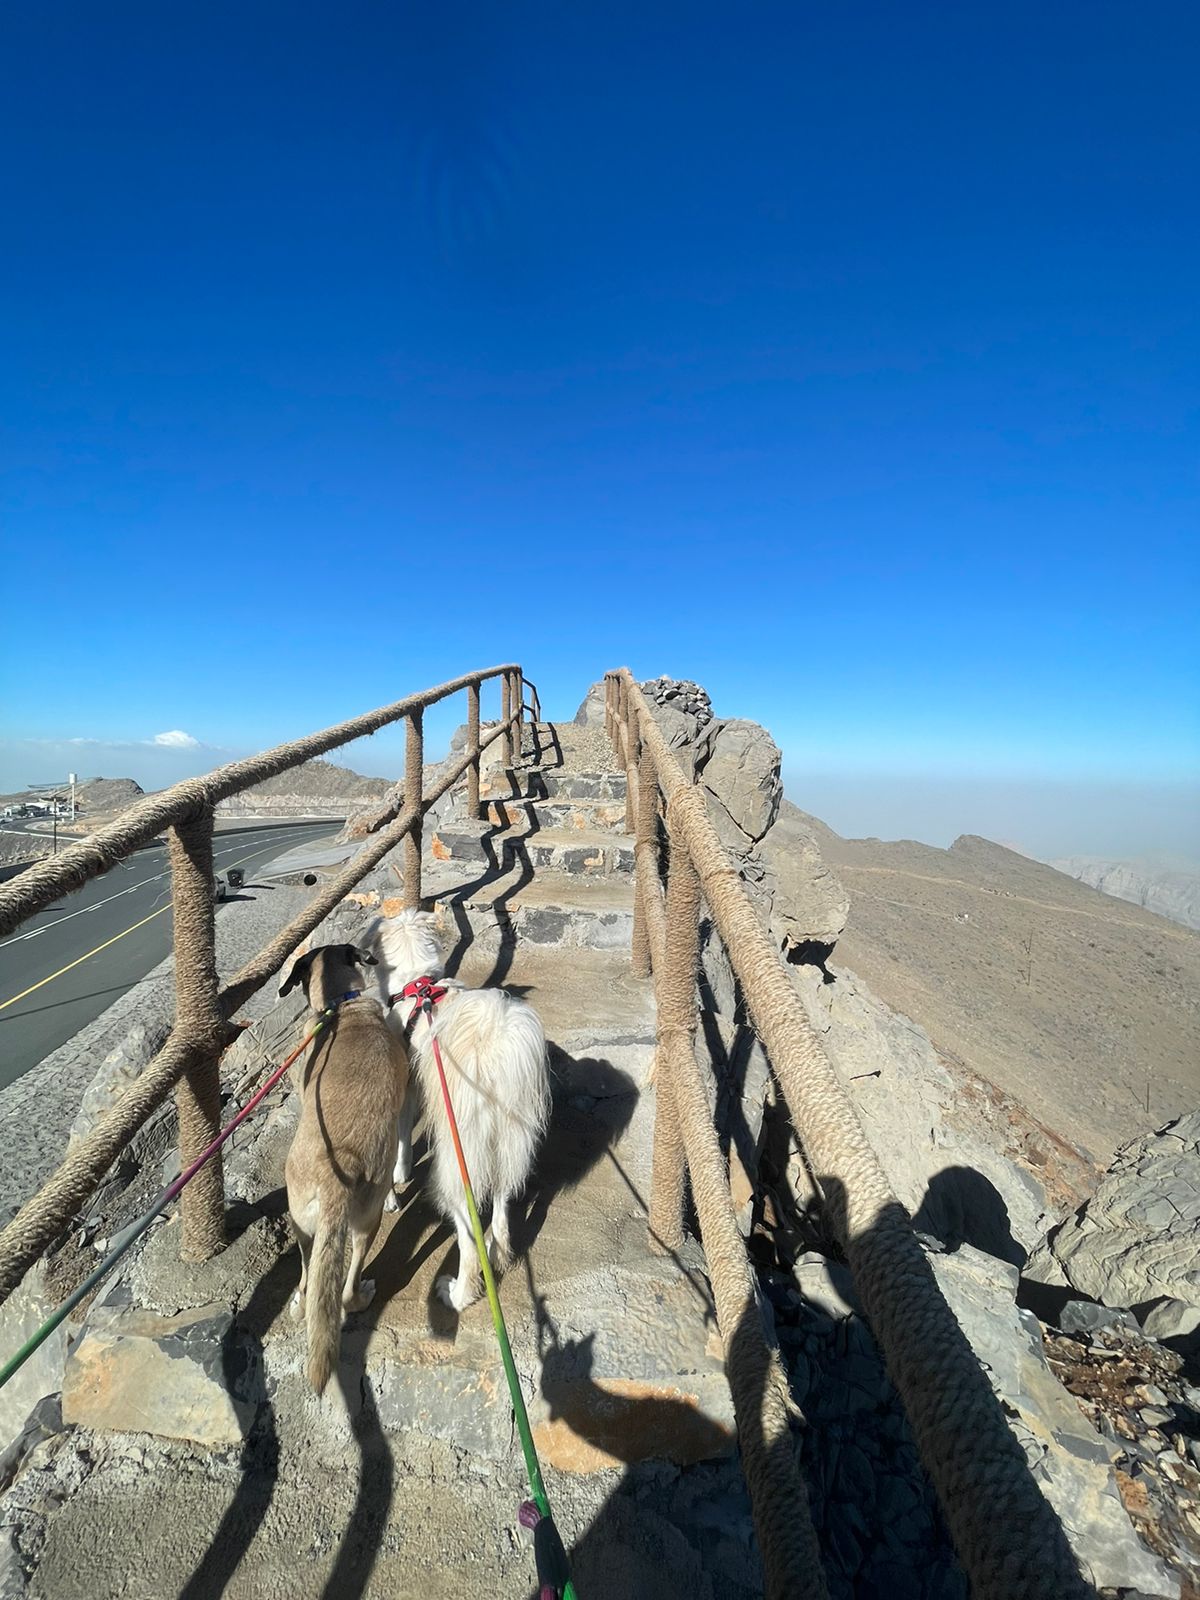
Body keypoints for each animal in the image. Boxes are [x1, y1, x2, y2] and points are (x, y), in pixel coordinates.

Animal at [280, 943, 410, 1392]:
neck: (341, 1007)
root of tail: (333, 1174)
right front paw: (396, 1194)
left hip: (304, 1229)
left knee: (309, 1282)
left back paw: (300, 1305)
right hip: (364, 1225)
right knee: (349, 1292)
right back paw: (364, 1293)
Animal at [363, 909, 550, 1311]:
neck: (417, 983)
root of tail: (495, 1055)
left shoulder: (407, 1087)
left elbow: (402, 1135)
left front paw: (400, 1175)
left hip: (457, 1164)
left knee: (468, 1240)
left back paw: (456, 1294)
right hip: (506, 1142)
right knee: (501, 1210)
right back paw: (497, 1254)